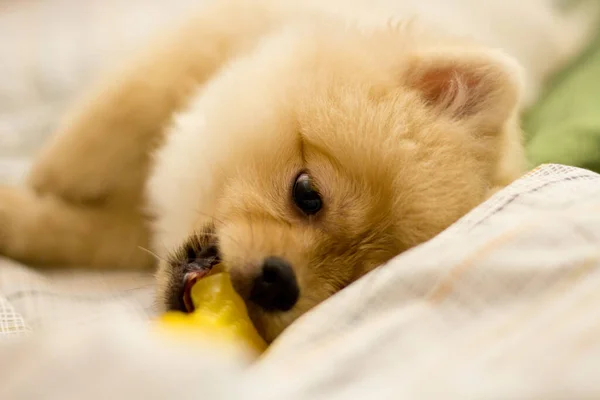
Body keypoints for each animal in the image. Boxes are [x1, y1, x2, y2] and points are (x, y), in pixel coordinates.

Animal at [0, 0, 556, 342]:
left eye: (347, 285)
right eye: (307, 193)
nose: (279, 281)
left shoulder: (131, 230)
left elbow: (68, 233)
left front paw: (18, 212)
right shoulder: (207, 41)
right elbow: (115, 117)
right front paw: (52, 174)